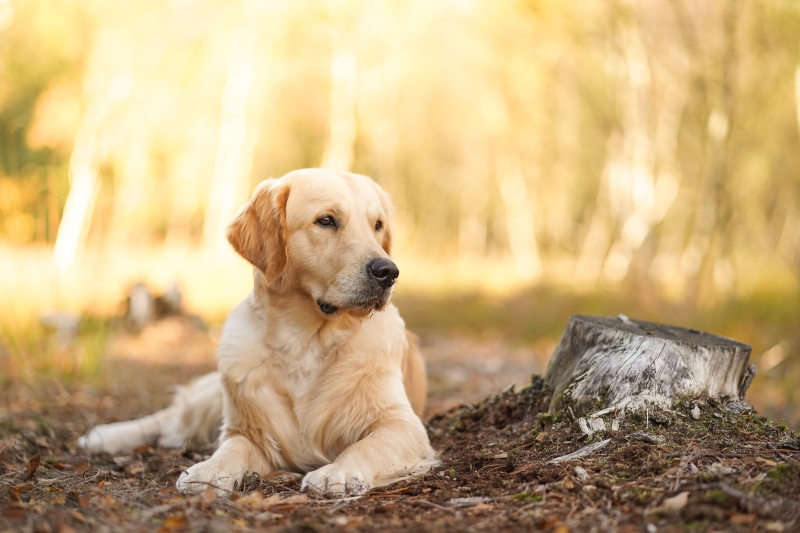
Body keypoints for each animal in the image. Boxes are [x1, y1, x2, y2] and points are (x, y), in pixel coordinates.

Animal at [78, 169, 434, 494]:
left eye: (378, 225)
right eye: (326, 220)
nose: (388, 271)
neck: (306, 342)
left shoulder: (402, 423)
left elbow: (366, 446)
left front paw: (339, 472)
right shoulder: (251, 428)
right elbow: (232, 447)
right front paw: (209, 470)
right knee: (168, 418)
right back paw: (104, 436)